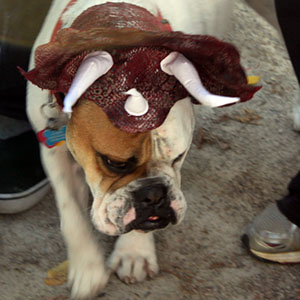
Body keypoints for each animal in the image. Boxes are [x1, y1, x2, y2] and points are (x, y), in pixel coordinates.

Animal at [23, 1, 260, 298]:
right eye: (114, 163)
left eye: (179, 157)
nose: (155, 195)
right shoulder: (53, 152)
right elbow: (72, 213)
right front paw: (87, 268)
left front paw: (134, 252)